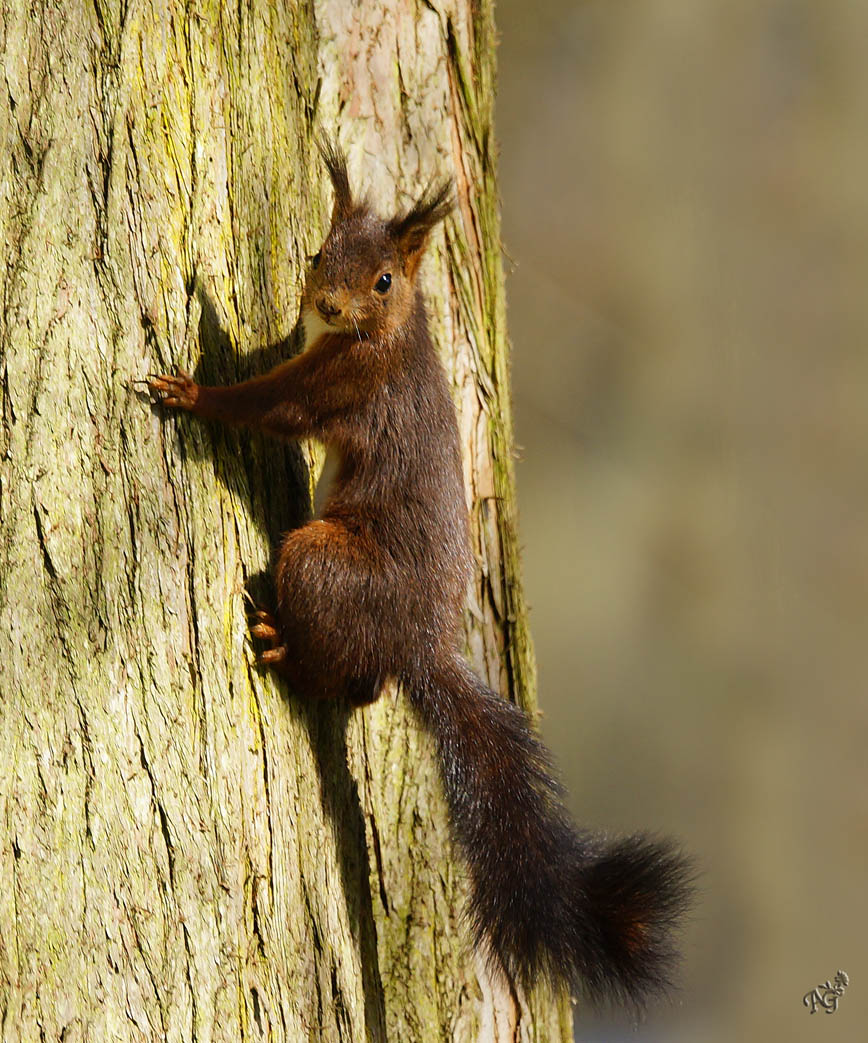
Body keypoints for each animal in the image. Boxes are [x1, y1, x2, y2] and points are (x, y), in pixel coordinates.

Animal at [147, 140, 692, 1009]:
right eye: (318, 254)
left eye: (384, 280)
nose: (327, 303)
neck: (391, 330)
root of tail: (422, 644)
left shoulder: (342, 386)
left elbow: (269, 405)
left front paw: (192, 388)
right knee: (367, 688)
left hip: (321, 558)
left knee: (341, 665)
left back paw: (283, 648)